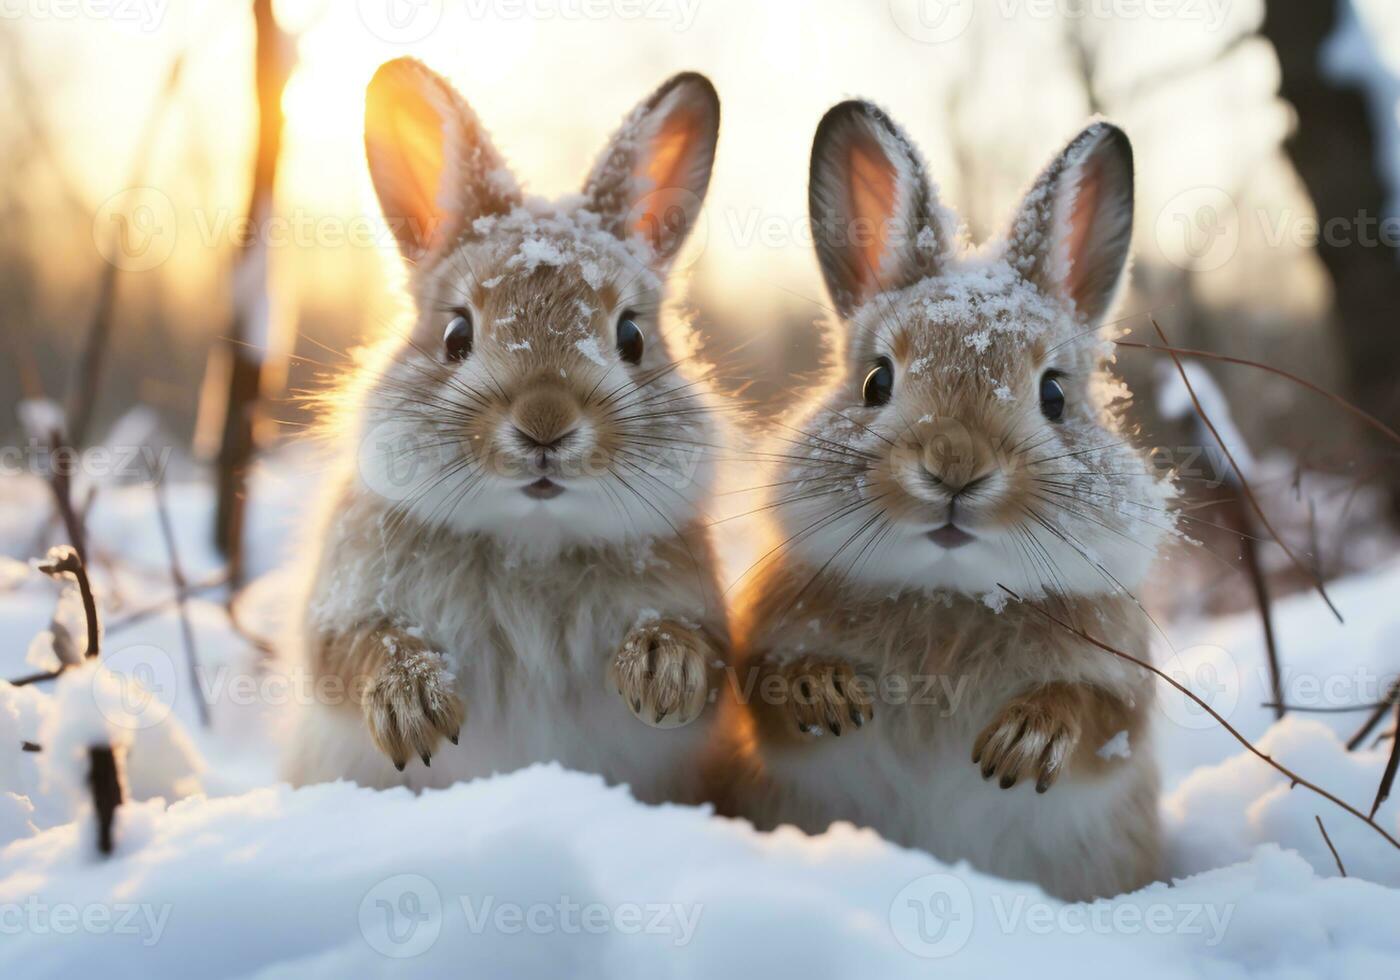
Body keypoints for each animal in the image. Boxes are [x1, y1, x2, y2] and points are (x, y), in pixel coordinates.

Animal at [278, 59, 728, 806]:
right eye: (456, 335)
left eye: (632, 337)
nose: (545, 426)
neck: (530, 542)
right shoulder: (341, 611)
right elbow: (360, 646)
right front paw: (415, 709)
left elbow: (709, 652)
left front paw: (665, 672)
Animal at [705, 103, 1176, 901]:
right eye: (876, 383)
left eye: (1055, 395)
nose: (955, 468)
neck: (950, 593)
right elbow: (766, 691)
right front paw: (824, 692)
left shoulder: (1124, 690)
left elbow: (1098, 717)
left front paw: (1022, 743)